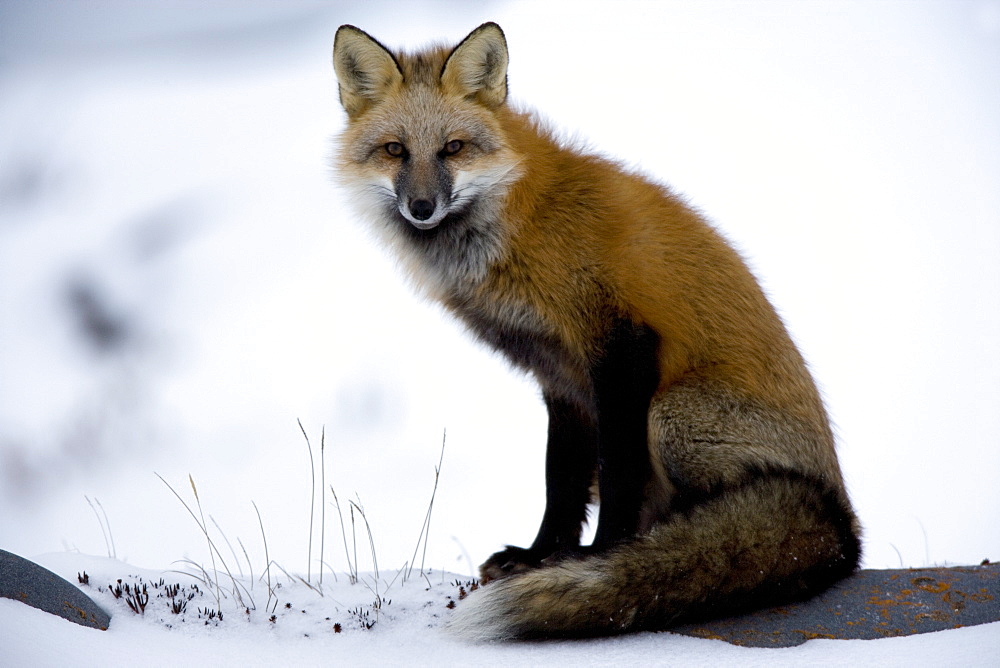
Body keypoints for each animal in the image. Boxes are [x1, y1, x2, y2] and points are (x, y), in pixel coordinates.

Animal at [334, 19, 860, 636]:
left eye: (453, 148)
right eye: (395, 150)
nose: (420, 207)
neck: (519, 223)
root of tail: (845, 530)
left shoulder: (621, 346)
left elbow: (615, 474)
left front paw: (606, 558)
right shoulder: (561, 376)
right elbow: (561, 482)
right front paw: (539, 558)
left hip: (670, 413)